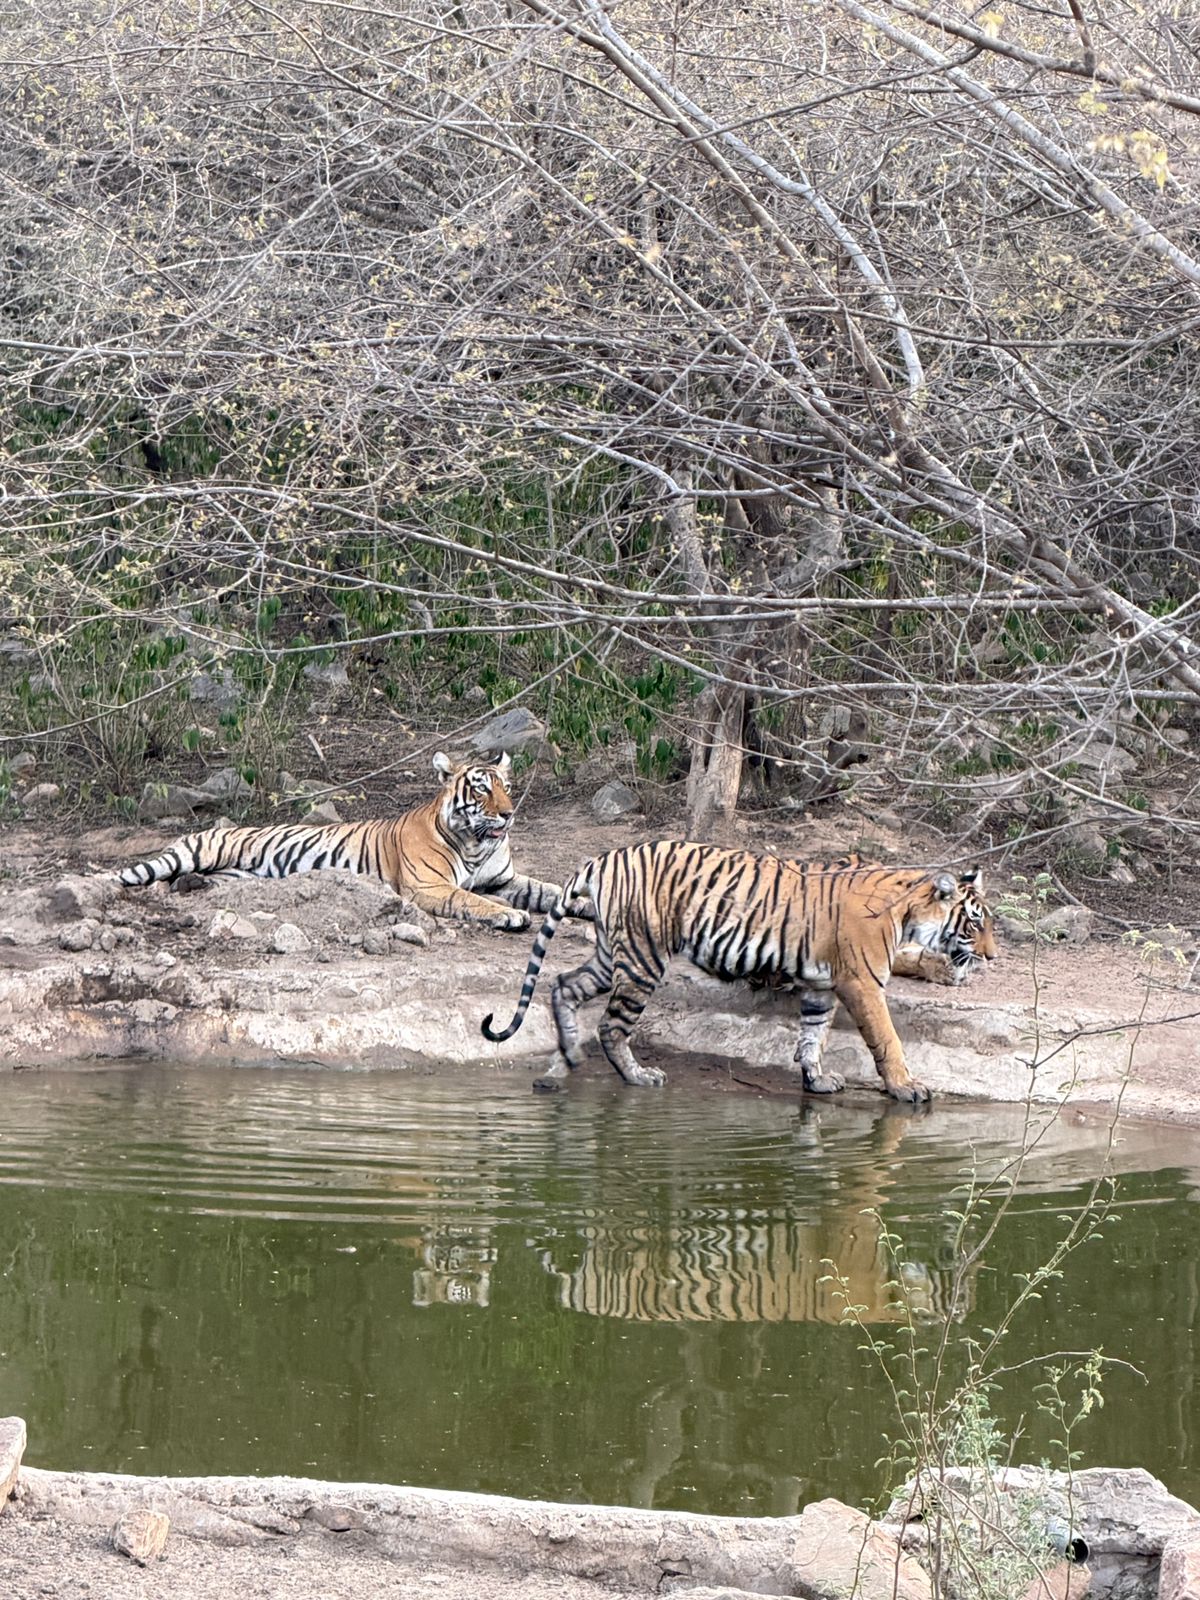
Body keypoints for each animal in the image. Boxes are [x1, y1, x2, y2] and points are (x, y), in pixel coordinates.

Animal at [119, 751, 566, 931]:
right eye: (481, 789)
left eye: (507, 787)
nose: (509, 813)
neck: (476, 841)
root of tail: (202, 830)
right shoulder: (429, 886)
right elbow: (471, 899)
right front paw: (511, 915)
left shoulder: (505, 880)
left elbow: (550, 890)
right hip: (193, 852)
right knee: (137, 873)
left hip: (233, 876)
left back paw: (192, 886)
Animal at [481, 842, 996, 1101]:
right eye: (974, 923)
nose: (991, 957)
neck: (908, 911)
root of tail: (603, 858)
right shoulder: (862, 983)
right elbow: (887, 1039)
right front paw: (907, 1087)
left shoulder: (822, 985)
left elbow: (813, 1035)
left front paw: (816, 1080)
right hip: (644, 958)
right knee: (611, 1025)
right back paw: (638, 1076)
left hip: (614, 952)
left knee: (563, 986)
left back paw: (562, 1063)